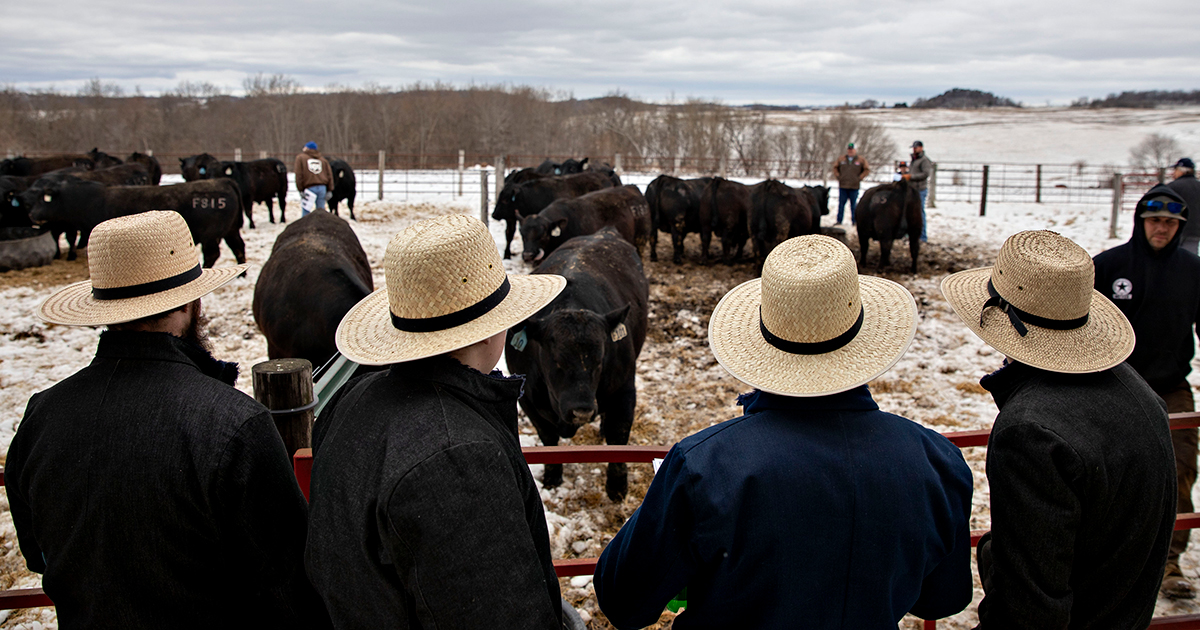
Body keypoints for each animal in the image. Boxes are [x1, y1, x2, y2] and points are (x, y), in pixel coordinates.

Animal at [27, 177, 246, 266]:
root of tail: (224, 181)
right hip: (231, 230)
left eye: (44, 199)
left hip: (212, 235)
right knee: (238, 246)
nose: (32, 215)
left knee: (213, 254)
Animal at [511, 228, 652, 499]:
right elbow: (548, 438)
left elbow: (619, 437)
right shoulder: (527, 401)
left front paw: (617, 487)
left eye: (600, 360)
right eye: (556, 360)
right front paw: (552, 477)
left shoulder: (624, 390)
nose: (582, 410)